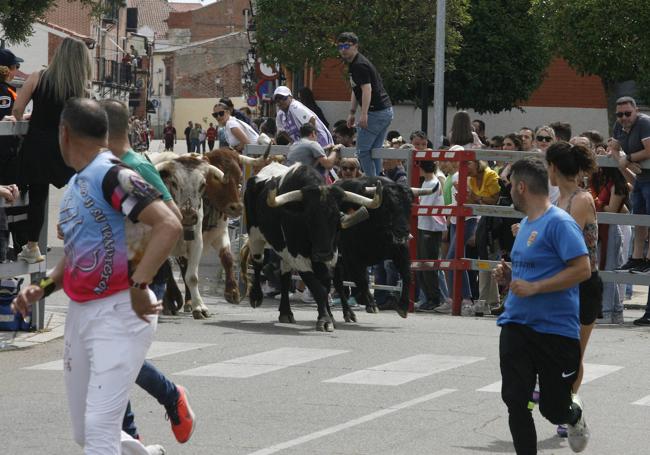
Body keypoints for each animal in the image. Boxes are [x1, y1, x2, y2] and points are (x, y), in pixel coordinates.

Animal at [242, 163, 380, 332]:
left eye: (337, 218)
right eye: (308, 218)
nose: (322, 253)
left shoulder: (331, 257)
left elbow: (326, 285)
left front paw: (329, 317)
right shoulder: (299, 257)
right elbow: (318, 289)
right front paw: (325, 320)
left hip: (285, 250)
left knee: (285, 277)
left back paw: (286, 312)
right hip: (255, 236)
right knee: (257, 263)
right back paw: (256, 297)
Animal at [332, 175, 432, 320]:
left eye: (409, 206)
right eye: (387, 207)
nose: (403, 231)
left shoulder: (401, 251)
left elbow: (407, 275)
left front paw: (403, 306)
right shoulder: (351, 257)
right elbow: (361, 279)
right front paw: (371, 304)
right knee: (339, 283)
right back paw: (349, 312)